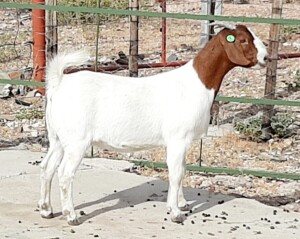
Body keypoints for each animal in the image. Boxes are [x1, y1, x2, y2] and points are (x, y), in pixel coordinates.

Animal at [38, 24, 268, 226]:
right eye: (243, 40)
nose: (266, 58)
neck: (196, 84)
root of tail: (59, 84)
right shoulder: (177, 139)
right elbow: (175, 173)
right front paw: (175, 213)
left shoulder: (183, 142)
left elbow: (182, 170)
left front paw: (182, 203)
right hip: (77, 140)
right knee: (65, 173)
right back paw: (71, 216)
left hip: (58, 138)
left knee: (47, 166)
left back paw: (46, 210)